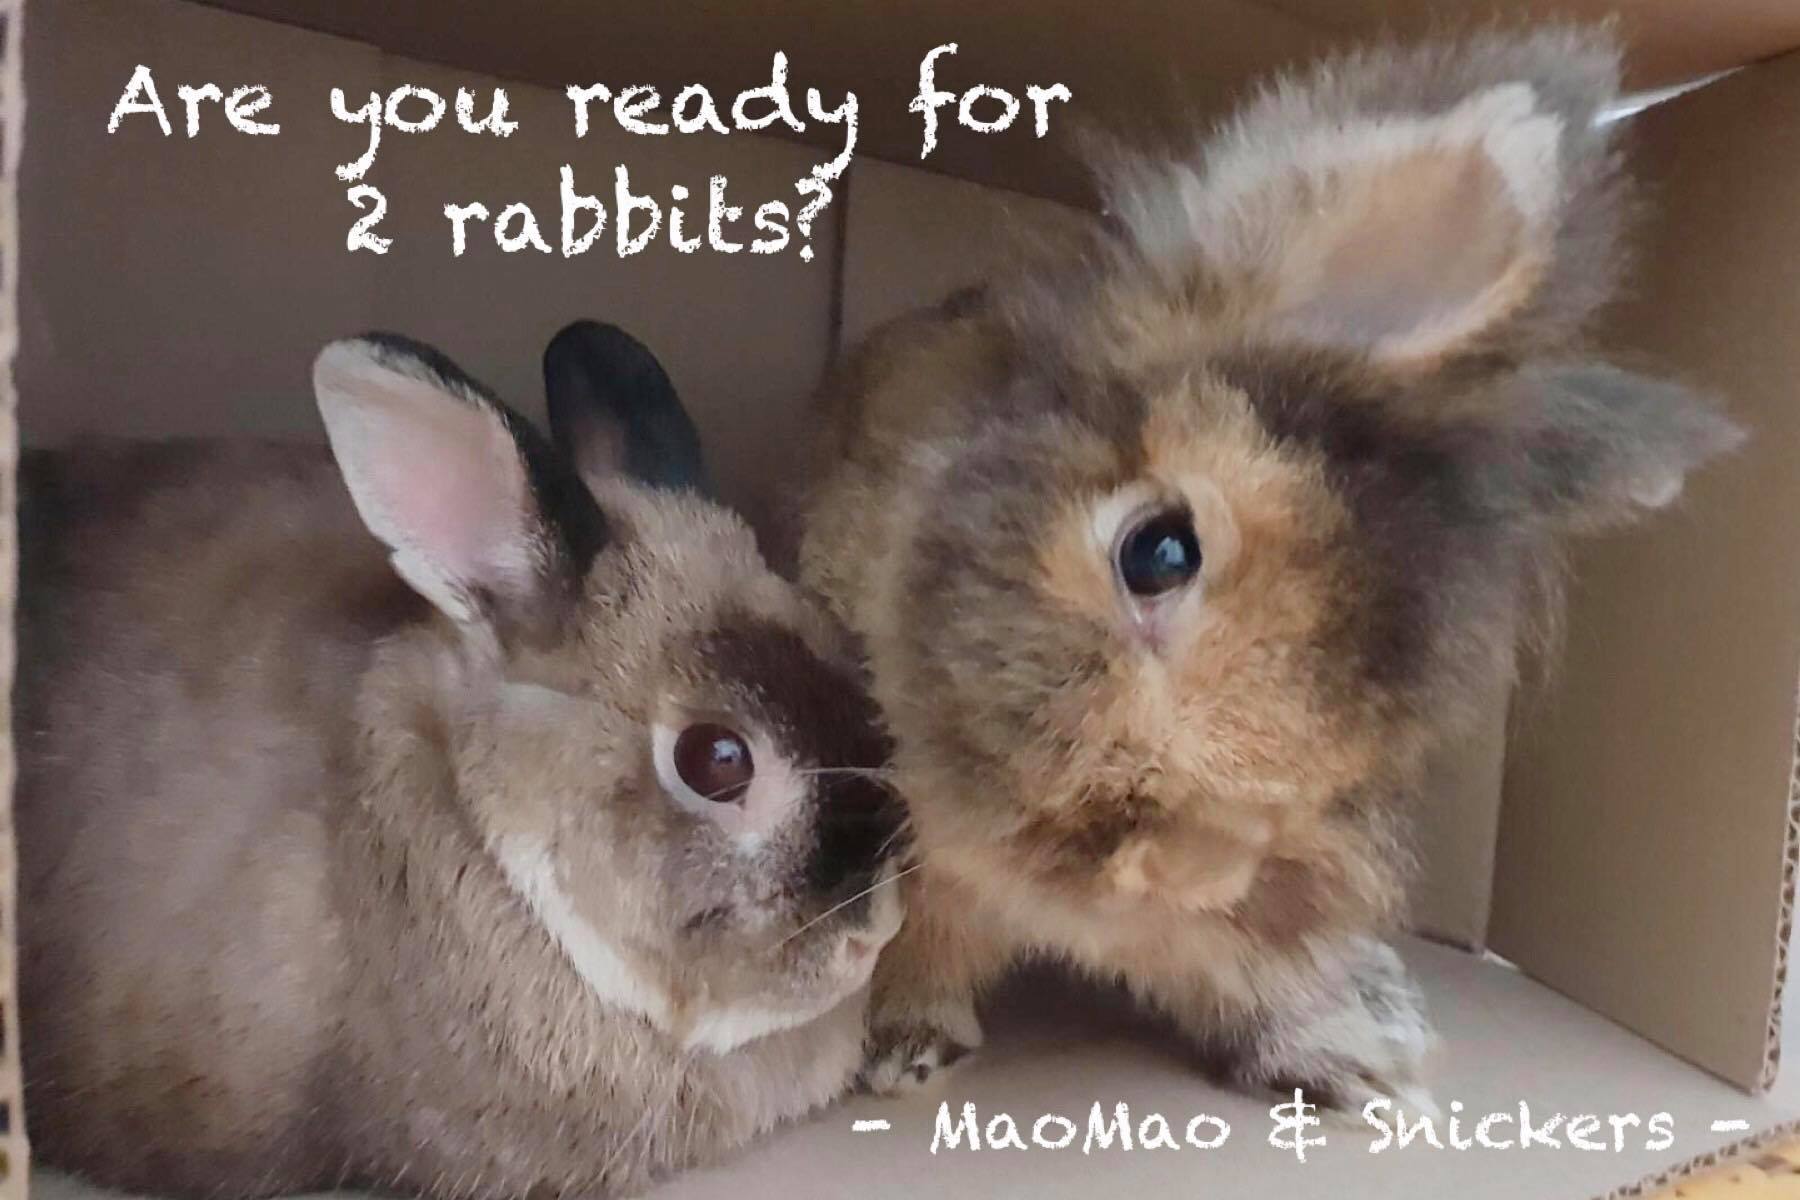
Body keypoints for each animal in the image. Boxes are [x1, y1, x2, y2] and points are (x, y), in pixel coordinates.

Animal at [797, 27, 1743, 1113]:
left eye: (1372, 755)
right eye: (1157, 550)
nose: (1176, 870)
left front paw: (1363, 1068)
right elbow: (919, 945)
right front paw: (901, 1050)